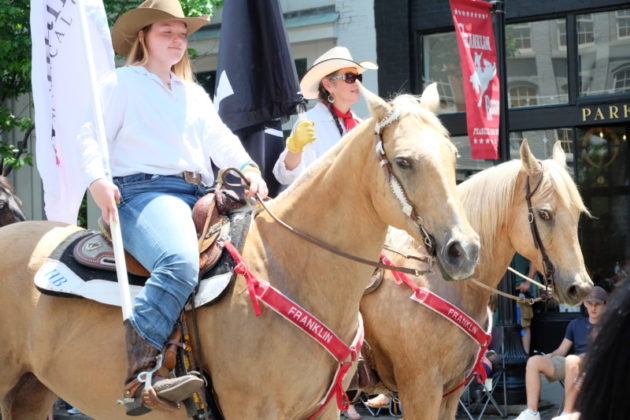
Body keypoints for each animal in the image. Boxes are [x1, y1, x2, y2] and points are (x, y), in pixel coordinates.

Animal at [0, 85, 478, 420]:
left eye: (452, 156)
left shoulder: (324, 408)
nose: (464, 249)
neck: (291, 268)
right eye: (404, 161)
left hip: (31, 391)